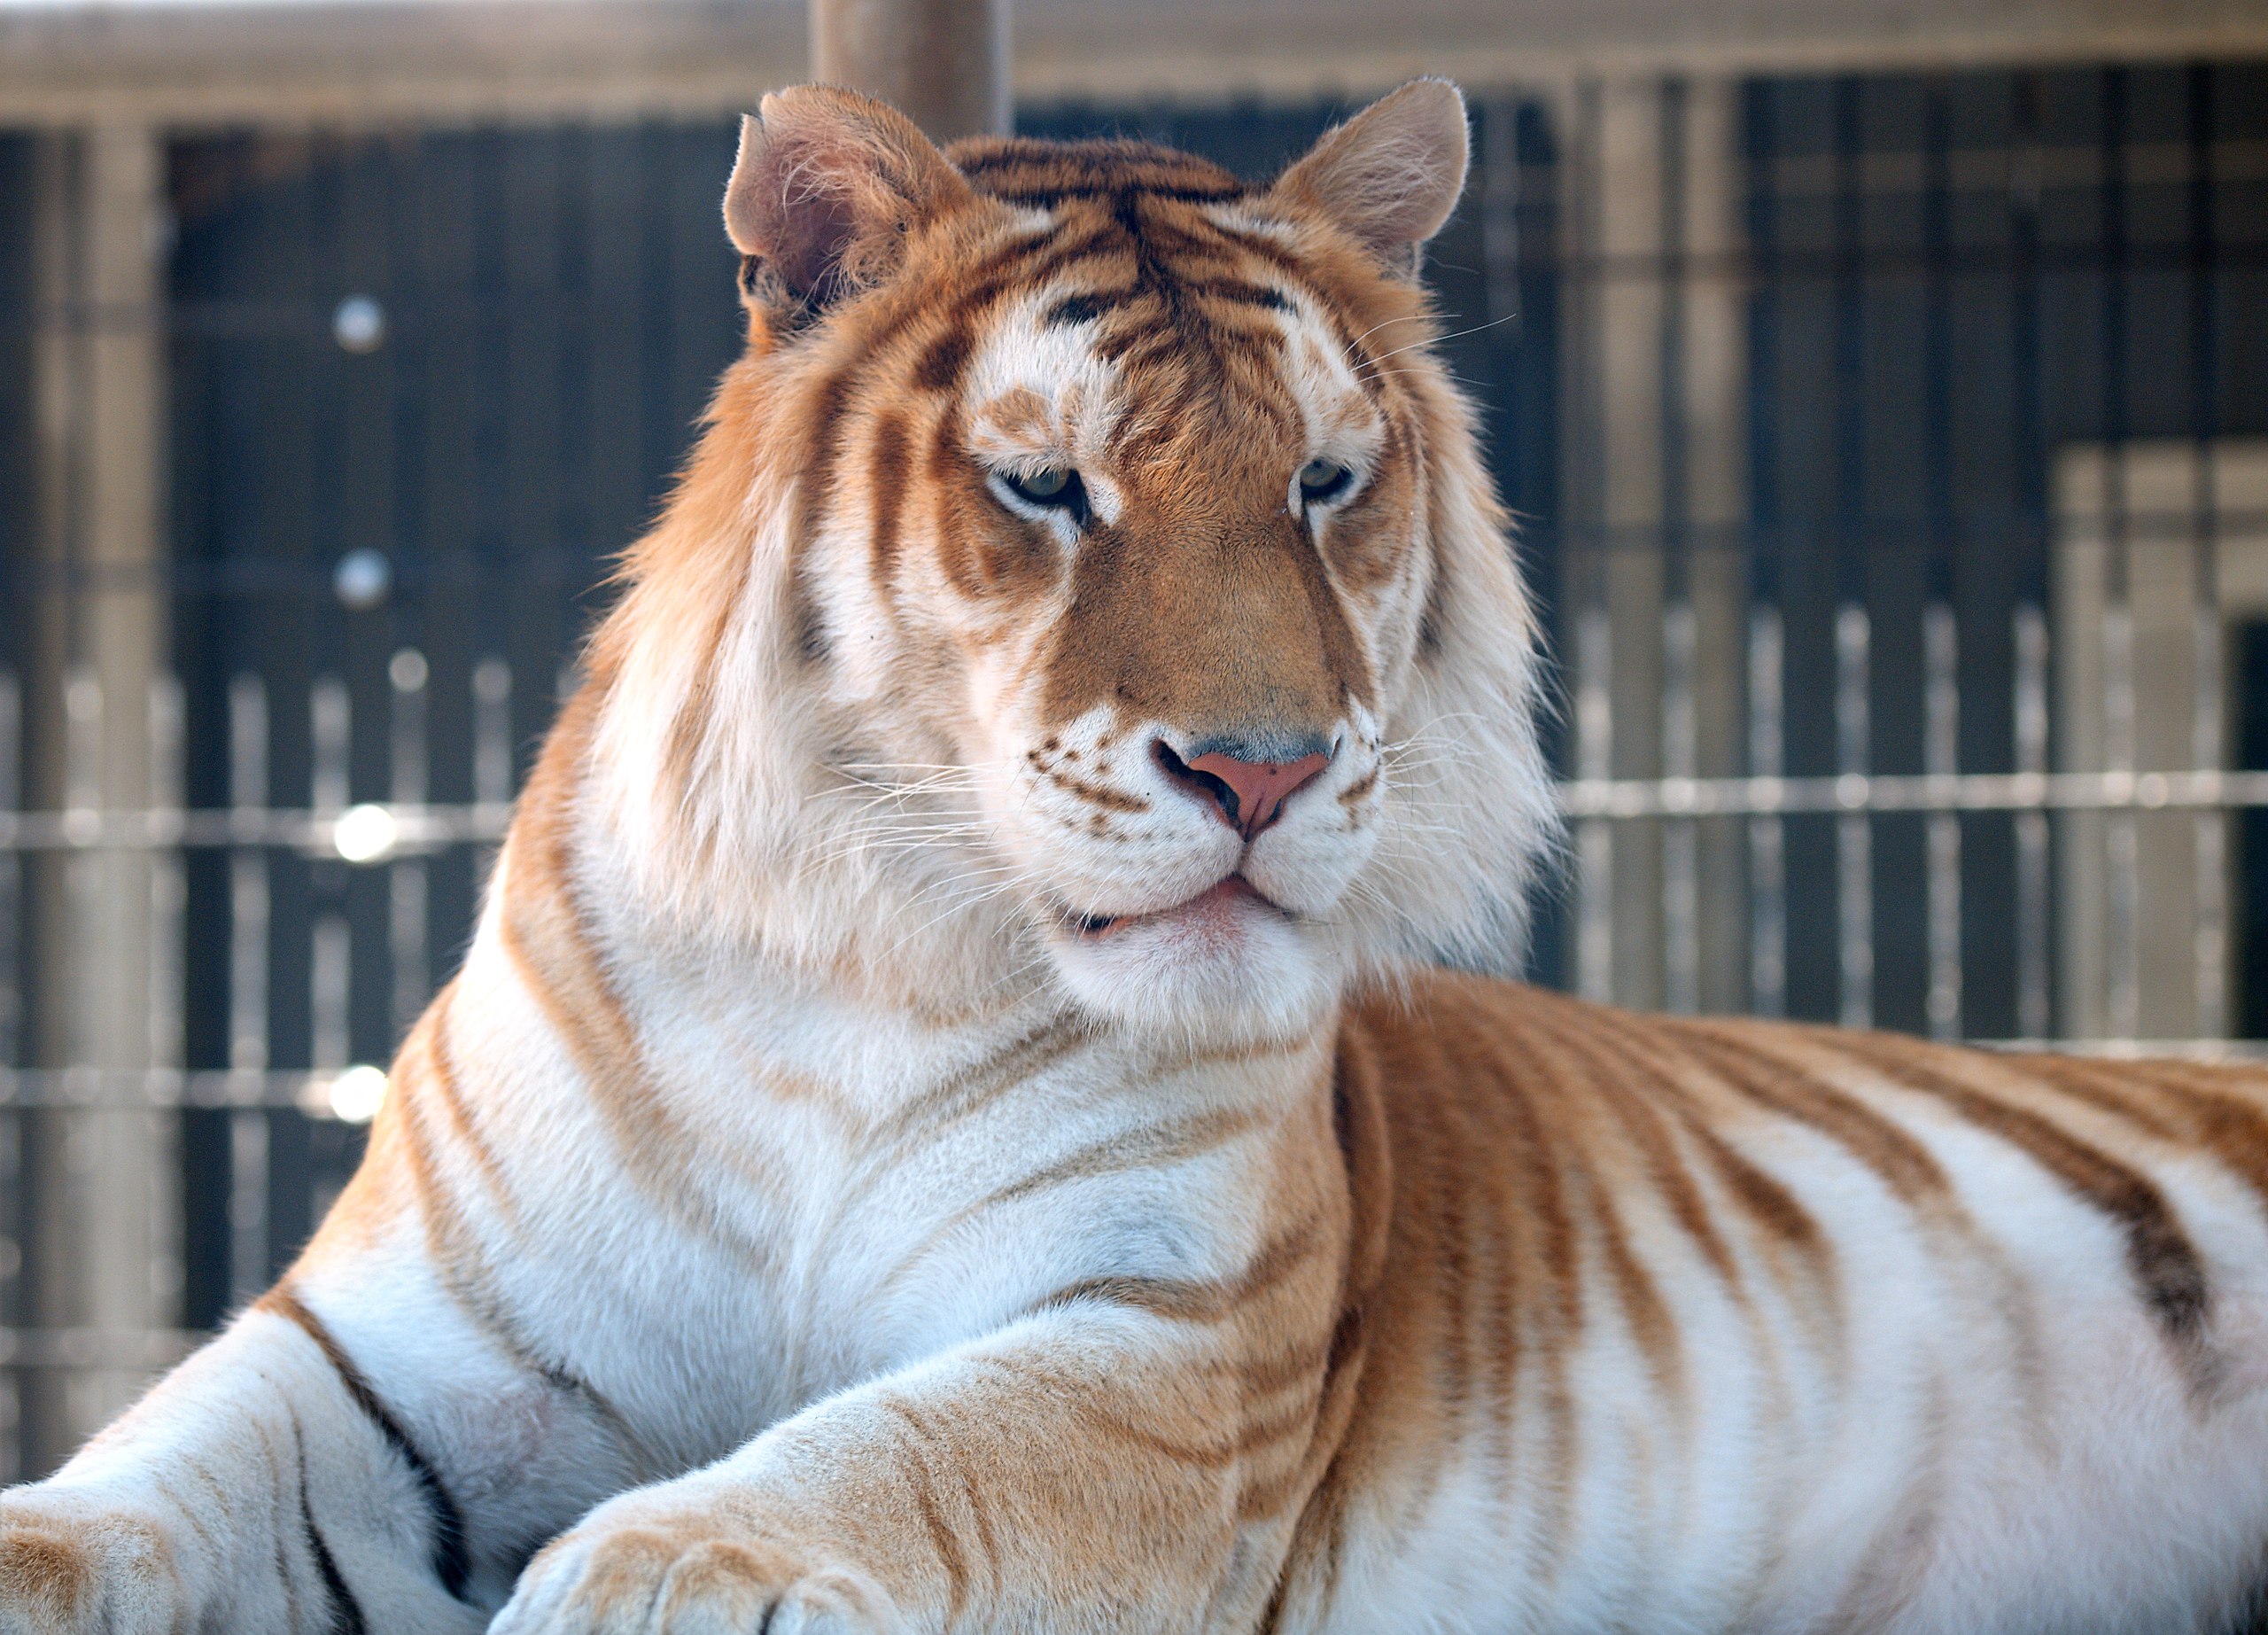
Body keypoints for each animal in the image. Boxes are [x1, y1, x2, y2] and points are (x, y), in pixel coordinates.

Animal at [4, 73, 2268, 1632]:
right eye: (1043, 488)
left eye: (1325, 483)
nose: (1263, 772)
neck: (871, 963)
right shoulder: (400, 1349)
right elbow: (154, 1470)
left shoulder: (1169, 1344)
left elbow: (900, 1446)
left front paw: (659, 1569)